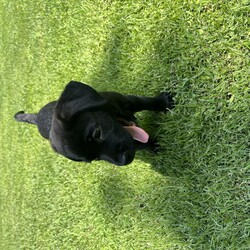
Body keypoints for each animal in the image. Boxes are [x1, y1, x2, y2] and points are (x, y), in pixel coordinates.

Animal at [14, 80, 174, 166]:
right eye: (96, 158)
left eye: (97, 133)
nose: (125, 160)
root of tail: (37, 117)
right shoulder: (132, 141)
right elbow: (141, 144)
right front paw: (155, 146)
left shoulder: (125, 100)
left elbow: (144, 101)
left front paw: (164, 102)